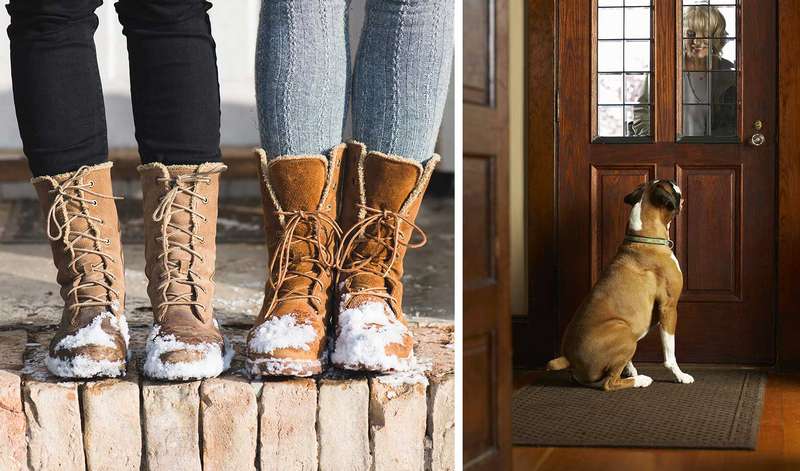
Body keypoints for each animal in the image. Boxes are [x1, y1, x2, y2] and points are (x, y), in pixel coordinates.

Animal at [548, 181, 692, 390]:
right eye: (670, 186)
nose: (676, 183)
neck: (644, 237)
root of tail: (568, 358)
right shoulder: (669, 308)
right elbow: (670, 353)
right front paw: (679, 375)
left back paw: (631, 373)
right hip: (624, 332)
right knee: (609, 383)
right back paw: (640, 380)